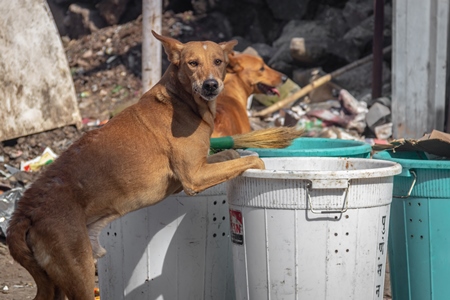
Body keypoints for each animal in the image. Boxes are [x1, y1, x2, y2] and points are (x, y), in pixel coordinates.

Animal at [6, 31, 264, 300]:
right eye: (192, 63)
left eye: (218, 61)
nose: (211, 85)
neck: (182, 100)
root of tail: (25, 210)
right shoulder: (193, 177)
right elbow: (250, 160)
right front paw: (260, 163)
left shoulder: (201, 166)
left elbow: (232, 154)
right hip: (78, 272)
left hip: (55, 280)